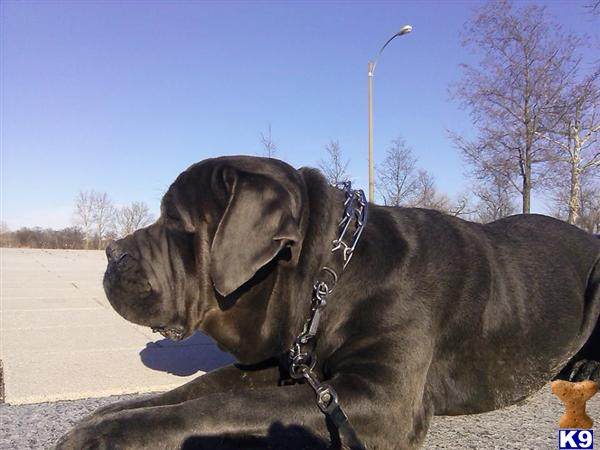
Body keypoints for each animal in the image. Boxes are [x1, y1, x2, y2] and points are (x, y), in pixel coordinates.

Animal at [56, 156, 600, 448]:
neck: (329, 279)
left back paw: (583, 365)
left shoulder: (382, 399)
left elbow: (228, 401)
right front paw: (103, 417)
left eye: (175, 223)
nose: (111, 252)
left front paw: (102, 434)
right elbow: (201, 387)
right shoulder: (288, 362)